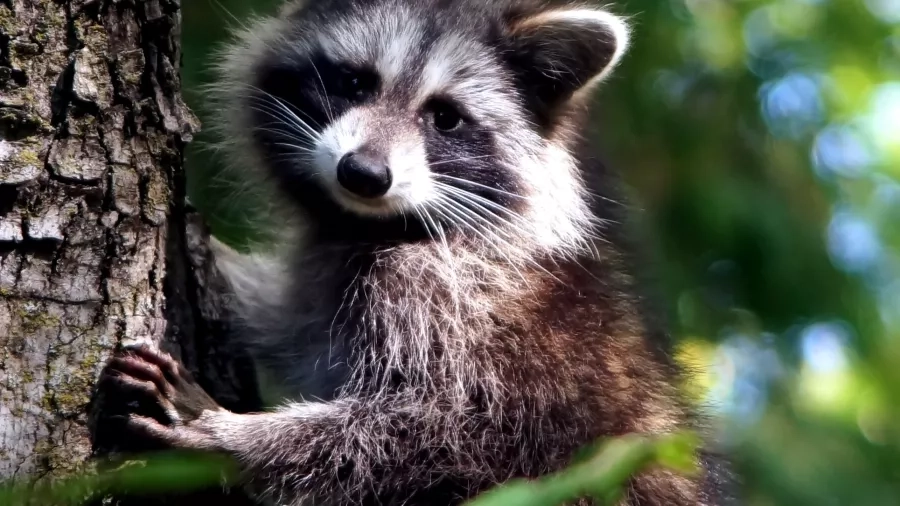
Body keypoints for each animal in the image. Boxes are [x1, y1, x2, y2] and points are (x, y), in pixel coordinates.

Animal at [100, 0, 732, 504]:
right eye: (356, 83)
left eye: (445, 117)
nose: (362, 174)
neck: (371, 225)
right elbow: (291, 322)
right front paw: (218, 260)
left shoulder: (457, 300)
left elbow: (444, 430)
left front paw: (229, 436)